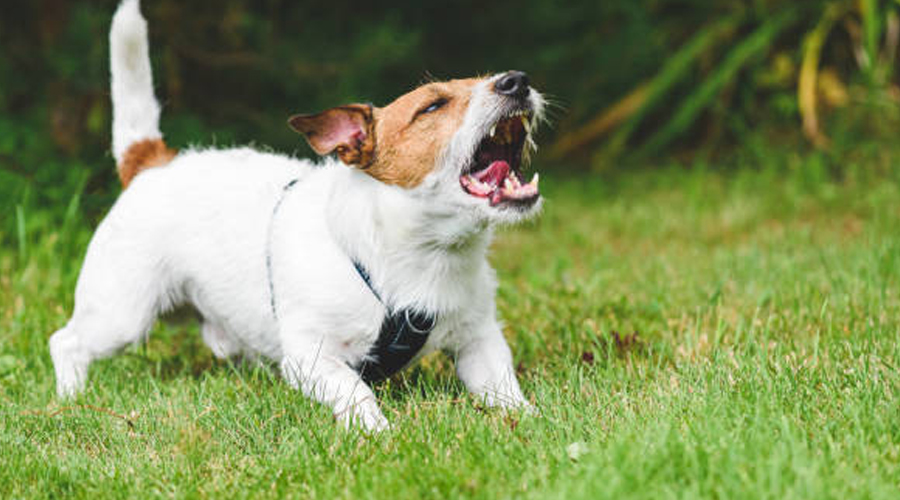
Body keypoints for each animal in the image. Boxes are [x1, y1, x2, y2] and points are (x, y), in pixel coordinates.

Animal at [51, 0, 548, 430]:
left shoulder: (479, 340)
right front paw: (376, 430)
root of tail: (152, 162)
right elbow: (354, 389)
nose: (517, 80)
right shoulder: (313, 355)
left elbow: (503, 387)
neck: (422, 255)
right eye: (432, 106)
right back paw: (72, 396)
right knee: (66, 342)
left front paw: (532, 421)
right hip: (122, 314)